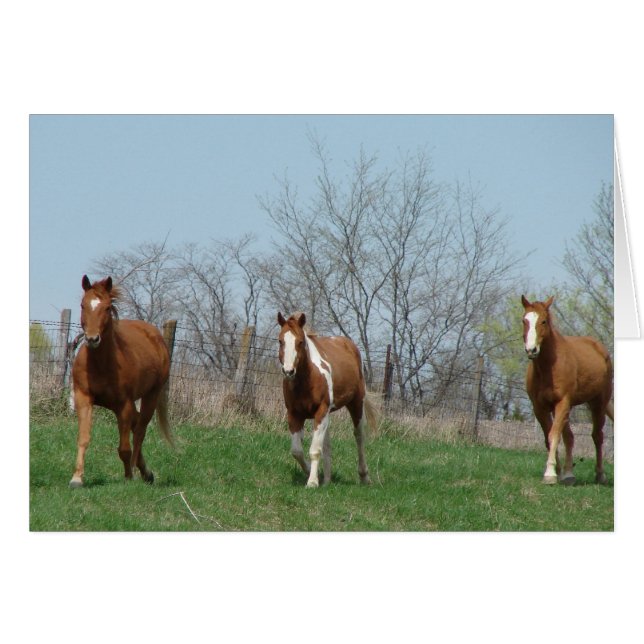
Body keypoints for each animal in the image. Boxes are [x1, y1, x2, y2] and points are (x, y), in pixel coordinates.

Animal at [69, 275, 173, 487]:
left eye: (108, 307)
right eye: (83, 305)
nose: (92, 339)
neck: (100, 364)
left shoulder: (123, 405)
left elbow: (124, 447)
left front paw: (128, 476)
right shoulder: (83, 398)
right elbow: (83, 438)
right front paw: (77, 478)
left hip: (151, 395)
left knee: (140, 430)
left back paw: (138, 471)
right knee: (137, 423)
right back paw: (145, 471)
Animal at [277, 311, 378, 488]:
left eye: (300, 342)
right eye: (281, 341)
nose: (288, 371)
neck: (307, 380)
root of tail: (348, 344)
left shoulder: (321, 411)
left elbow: (314, 450)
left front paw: (312, 482)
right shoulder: (294, 415)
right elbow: (297, 451)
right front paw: (313, 473)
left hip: (356, 403)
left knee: (359, 436)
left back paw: (364, 477)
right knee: (327, 443)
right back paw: (327, 479)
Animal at [521, 295, 613, 485]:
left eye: (543, 321)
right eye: (524, 320)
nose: (531, 350)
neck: (549, 367)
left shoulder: (562, 402)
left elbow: (554, 435)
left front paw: (550, 473)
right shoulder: (539, 408)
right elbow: (549, 438)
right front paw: (556, 471)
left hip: (598, 404)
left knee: (597, 436)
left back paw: (600, 474)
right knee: (570, 437)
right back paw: (568, 473)